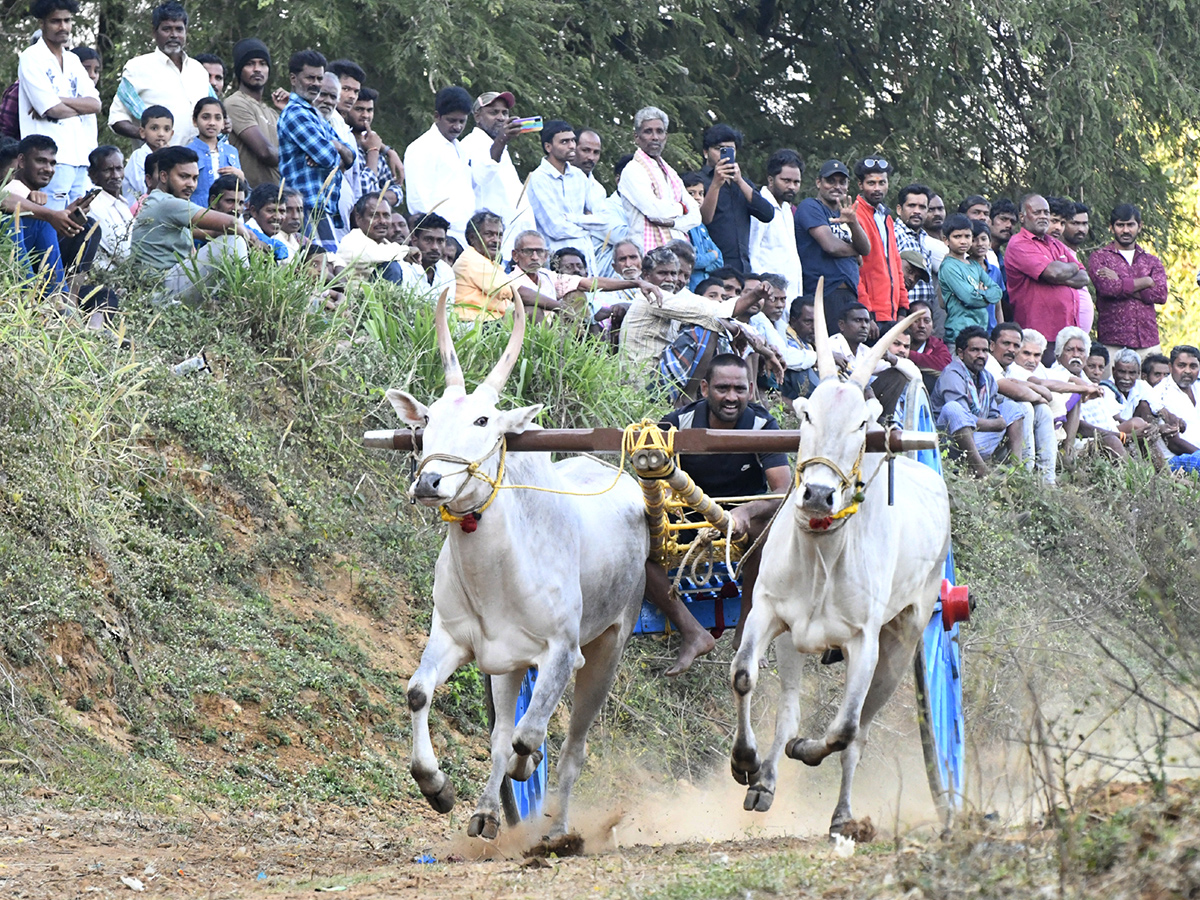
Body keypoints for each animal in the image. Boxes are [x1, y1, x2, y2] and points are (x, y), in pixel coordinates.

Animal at [384, 292, 648, 844]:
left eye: (484, 421)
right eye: (426, 420)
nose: (429, 482)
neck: (497, 571)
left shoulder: (563, 652)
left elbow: (531, 737)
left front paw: (528, 770)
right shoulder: (455, 638)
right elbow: (420, 694)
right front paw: (437, 787)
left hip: (610, 647)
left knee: (570, 747)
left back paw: (557, 829)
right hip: (508, 665)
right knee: (504, 732)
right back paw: (487, 812)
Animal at [724, 290, 950, 840]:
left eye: (861, 424)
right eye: (806, 414)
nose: (818, 494)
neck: (822, 554)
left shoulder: (864, 642)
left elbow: (844, 730)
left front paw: (805, 751)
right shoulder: (767, 613)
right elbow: (743, 677)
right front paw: (745, 763)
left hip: (906, 634)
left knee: (859, 733)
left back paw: (843, 815)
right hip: (794, 641)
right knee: (788, 707)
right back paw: (765, 781)